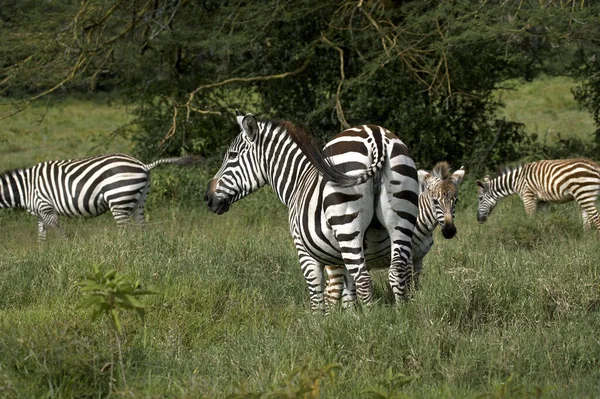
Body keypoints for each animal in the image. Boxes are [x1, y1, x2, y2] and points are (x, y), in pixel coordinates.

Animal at [0, 153, 202, 241]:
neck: (25, 187)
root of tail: (144, 165)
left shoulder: (46, 206)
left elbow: (58, 230)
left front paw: (67, 249)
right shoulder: (39, 212)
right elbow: (41, 236)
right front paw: (44, 255)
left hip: (119, 199)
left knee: (124, 230)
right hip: (139, 201)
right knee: (142, 227)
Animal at [204, 110, 420, 312]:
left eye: (232, 156)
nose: (207, 198)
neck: (298, 181)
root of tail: (375, 135)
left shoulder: (305, 251)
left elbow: (317, 296)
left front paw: (319, 324)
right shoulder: (341, 257)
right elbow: (347, 294)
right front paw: (351, 320)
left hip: (347, 226)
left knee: (364, 280)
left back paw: (371, 322)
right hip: (401, 217)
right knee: (396, 272)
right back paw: (400, 316)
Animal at [326, 161, 466, 308]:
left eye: (456, 200)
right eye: (435, 201)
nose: (450, 231)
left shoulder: (419, 258)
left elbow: (416, 283)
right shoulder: (408, 257)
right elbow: (408, 283)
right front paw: (411, 303)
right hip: (337, 263)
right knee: (330, 291)